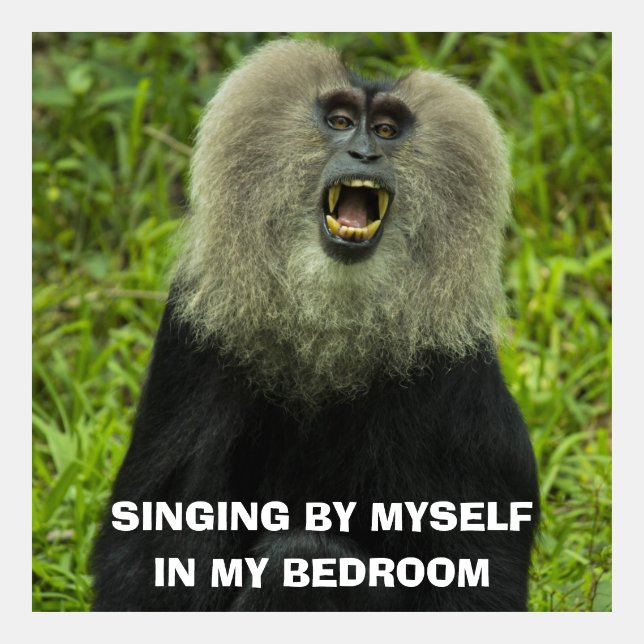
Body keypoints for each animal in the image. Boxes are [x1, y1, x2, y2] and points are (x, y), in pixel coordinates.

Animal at [91, 40, 539, 611]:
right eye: (341, 121)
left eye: (387, 130)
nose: (365, 154)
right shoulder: (193, 341)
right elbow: (147, 553)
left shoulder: (456, 376)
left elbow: (480, 584)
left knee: (303, 556)